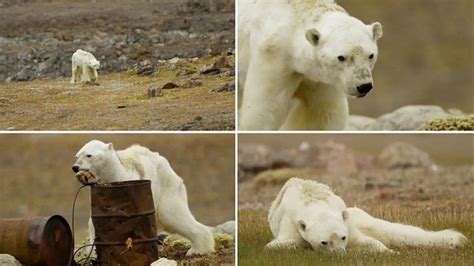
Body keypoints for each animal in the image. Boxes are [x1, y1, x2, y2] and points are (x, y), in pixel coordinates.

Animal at [72, 139, 215, 256]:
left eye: (89, 155)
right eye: (77, 156)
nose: (75, 167)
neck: (114, 175)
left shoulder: (129, 182)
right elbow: (95, 223)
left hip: (166, 189)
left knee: (173, 216)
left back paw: (197, 250)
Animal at [239, 0, 384, 130]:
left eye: (371, 55)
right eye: (341, 57)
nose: (364, 86)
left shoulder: (321, 78)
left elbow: (321, 115)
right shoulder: (274, 56)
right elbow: (264, 110)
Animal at [268, 178, 468, 252]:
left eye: (343, 237)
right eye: (324, 242)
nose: (341, 253)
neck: (315, 203)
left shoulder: (346, 222)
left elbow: (367, 240)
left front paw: (391, 252)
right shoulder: (291, 223)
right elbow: (278, 245)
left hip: (360, 215)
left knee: (391, 231)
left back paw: (457, 240)